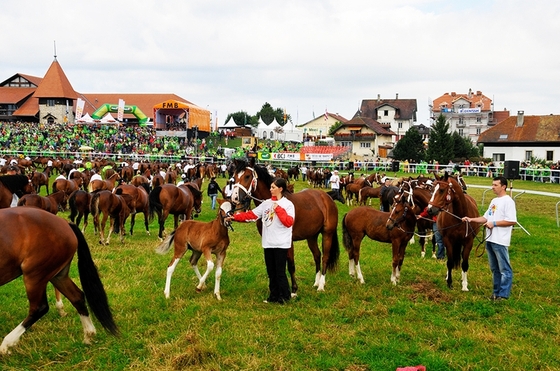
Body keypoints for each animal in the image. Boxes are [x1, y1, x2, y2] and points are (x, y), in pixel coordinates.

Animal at [0, 208, 118, 356]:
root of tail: (65, 223)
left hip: (35, 276)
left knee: (39, 308)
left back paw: (7, 344)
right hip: (57, 276)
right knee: (77, 297)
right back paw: (89, 335)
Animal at [230, 158, 340, 294]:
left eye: (247, 176)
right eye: (234, 176)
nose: (235, 198)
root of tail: (327, 197)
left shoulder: (288, 242)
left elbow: (290, 264)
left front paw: (293, 290)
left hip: (327, 234)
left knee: (325, 257)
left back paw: (321, 285)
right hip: (311, 236)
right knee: (317, 255)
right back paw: (316, 282)